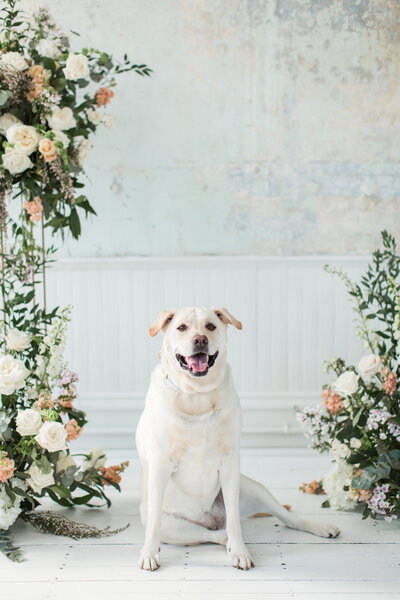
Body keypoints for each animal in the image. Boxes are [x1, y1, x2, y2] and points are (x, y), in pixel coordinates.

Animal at [136, 310, 340, 572]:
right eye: (181, 327)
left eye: (210, 326)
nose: (200, 339)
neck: (197, 396)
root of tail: (212, 518)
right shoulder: (160, 465)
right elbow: (153, 524)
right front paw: (149, 554)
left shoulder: (230, 463)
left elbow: (234, 520)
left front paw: (241, 551)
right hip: (174, 527)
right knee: (213, 534)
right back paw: (227, 543)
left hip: (254, 489)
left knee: (282, 519)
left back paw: (317, 528)